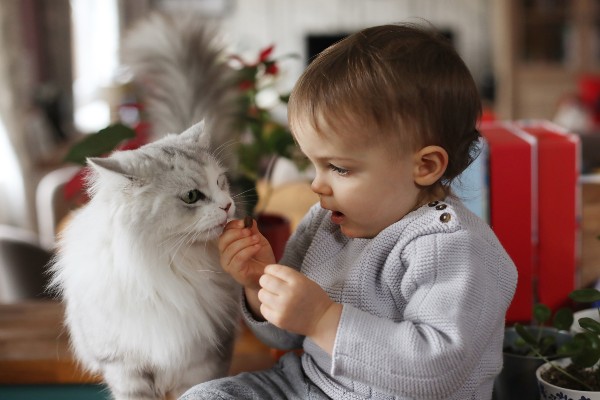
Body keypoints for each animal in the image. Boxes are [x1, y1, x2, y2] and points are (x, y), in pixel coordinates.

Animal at [50, 122, 240, 400]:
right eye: (191, 196)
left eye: (219, 182)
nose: (228, 206)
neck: (170, 267)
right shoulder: (124, 368)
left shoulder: (200, 361)